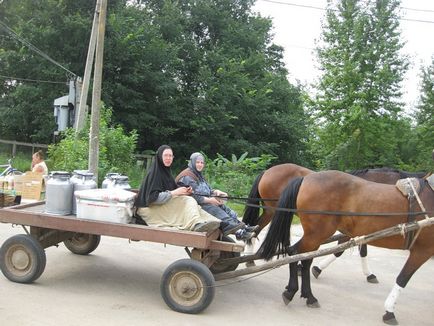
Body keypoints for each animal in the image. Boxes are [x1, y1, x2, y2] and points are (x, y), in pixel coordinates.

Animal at [258, 169, 434, 324]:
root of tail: (306, 179)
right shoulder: (422, 250)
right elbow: (403, 278)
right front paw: (389, 310)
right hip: (316, 234)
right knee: (294, 253)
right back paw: (291, 291)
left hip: (315, 236)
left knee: (305, 259)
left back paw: (308, 296)